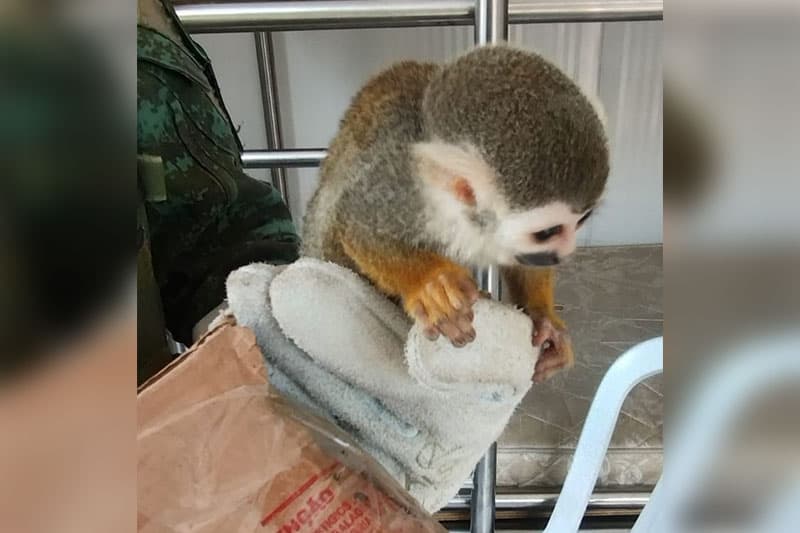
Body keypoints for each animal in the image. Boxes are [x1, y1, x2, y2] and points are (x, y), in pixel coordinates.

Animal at [301, 45, 608, 383]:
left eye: (580, 222)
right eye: (547, 232)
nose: (565, 253)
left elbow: (523, 263)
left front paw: (545, 319)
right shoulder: (401, 187)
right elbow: (357, 224)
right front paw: (430, 283)